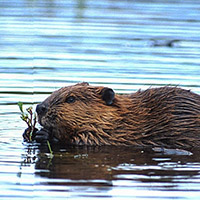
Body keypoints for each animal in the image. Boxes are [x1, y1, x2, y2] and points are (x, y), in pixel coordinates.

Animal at [33, 82, 200, 149]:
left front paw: (45, 134)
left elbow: (85, 140)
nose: (40, 108)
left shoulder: (112, 133)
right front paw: (32, 131)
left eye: (71, 99)